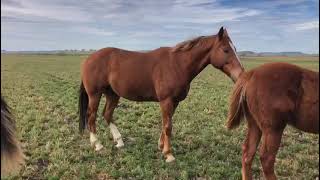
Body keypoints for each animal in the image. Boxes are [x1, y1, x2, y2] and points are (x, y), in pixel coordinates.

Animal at [79, 26, 242, 162]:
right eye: (225, 49)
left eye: (235, 48)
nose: (240, 75)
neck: (177, 64)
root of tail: (89, 59)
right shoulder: (166, 101)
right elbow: (168, 126)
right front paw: (168, 154)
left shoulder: (174, 102)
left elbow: (166, 124)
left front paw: (161, 146)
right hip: (95, 94)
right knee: (91, 116)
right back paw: (97, 145)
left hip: (113, 94)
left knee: (107, 114)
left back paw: (119, 141)